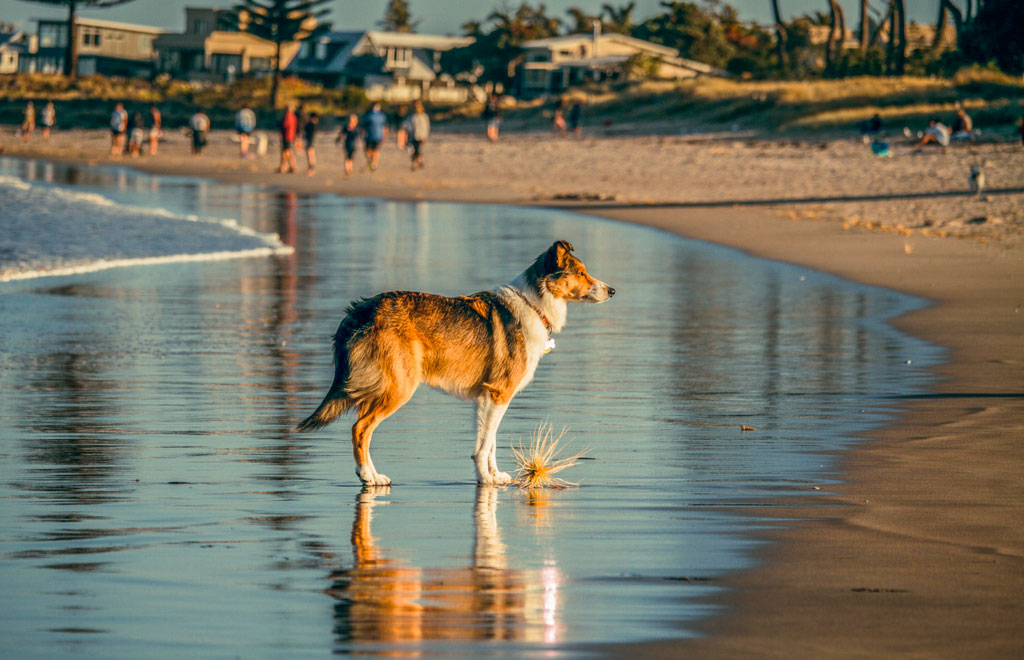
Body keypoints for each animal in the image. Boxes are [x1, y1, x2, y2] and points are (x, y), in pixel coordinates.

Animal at [296, 240, 614, 482]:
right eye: (582, 273)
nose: (612, 290)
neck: (534, 304)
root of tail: (360, 309)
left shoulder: (487, 397)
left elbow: (490, 441)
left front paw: (494, 476)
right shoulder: (499, 394)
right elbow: (483, 446)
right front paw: (485, 480)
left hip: (383, 387)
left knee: (363, 429)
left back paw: (373, 475)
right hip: (399, 387)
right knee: (360, 429)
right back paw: (368, 477)